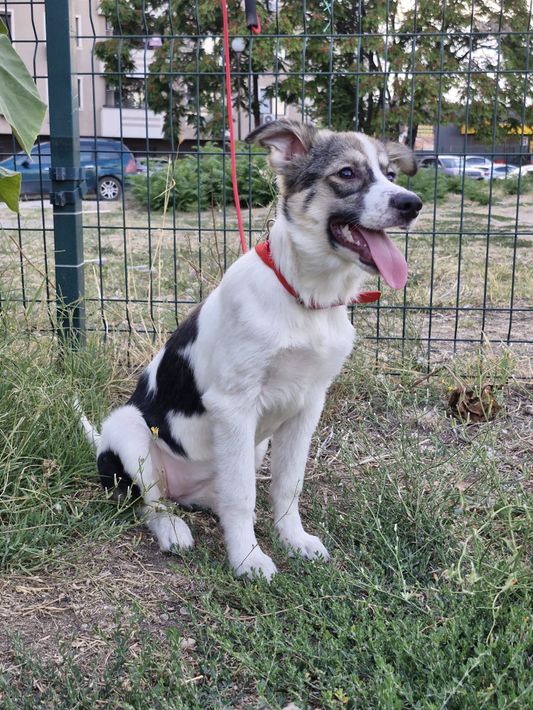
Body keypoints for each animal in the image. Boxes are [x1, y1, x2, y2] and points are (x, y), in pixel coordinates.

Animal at [78, 120, 422, 580]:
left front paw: (293, 539)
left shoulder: (308, 404)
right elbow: (243, 495)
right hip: (129, 430)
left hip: (251, 447)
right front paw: (247, 558)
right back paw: (172, 528)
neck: (304, 298)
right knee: (152, 502)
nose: (412, 204)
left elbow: (286, 485)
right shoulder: (234, 405)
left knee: (218, 493)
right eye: (347, 173)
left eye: (392, 174)